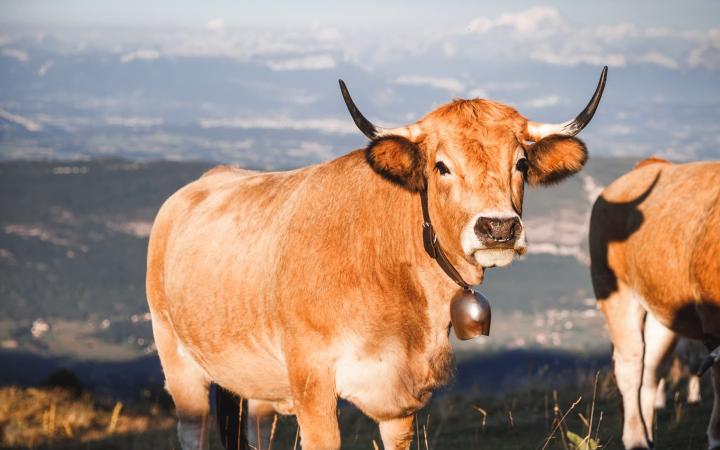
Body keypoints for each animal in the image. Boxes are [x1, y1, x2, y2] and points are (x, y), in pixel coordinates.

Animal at [147, 68, 607, 450]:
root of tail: (210, 177)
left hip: (258, 385)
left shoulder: (402, 398)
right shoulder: (312, 384)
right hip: (178, 361)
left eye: (521, 163)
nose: (498, 228)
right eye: (441, 166)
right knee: (192, 429)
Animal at [590, 157, 720, 449]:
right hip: (615, 291)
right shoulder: (711, 319)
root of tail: (650, 165)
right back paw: (636, 438)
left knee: (651, 370)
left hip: (664, 311)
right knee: (631, 365)